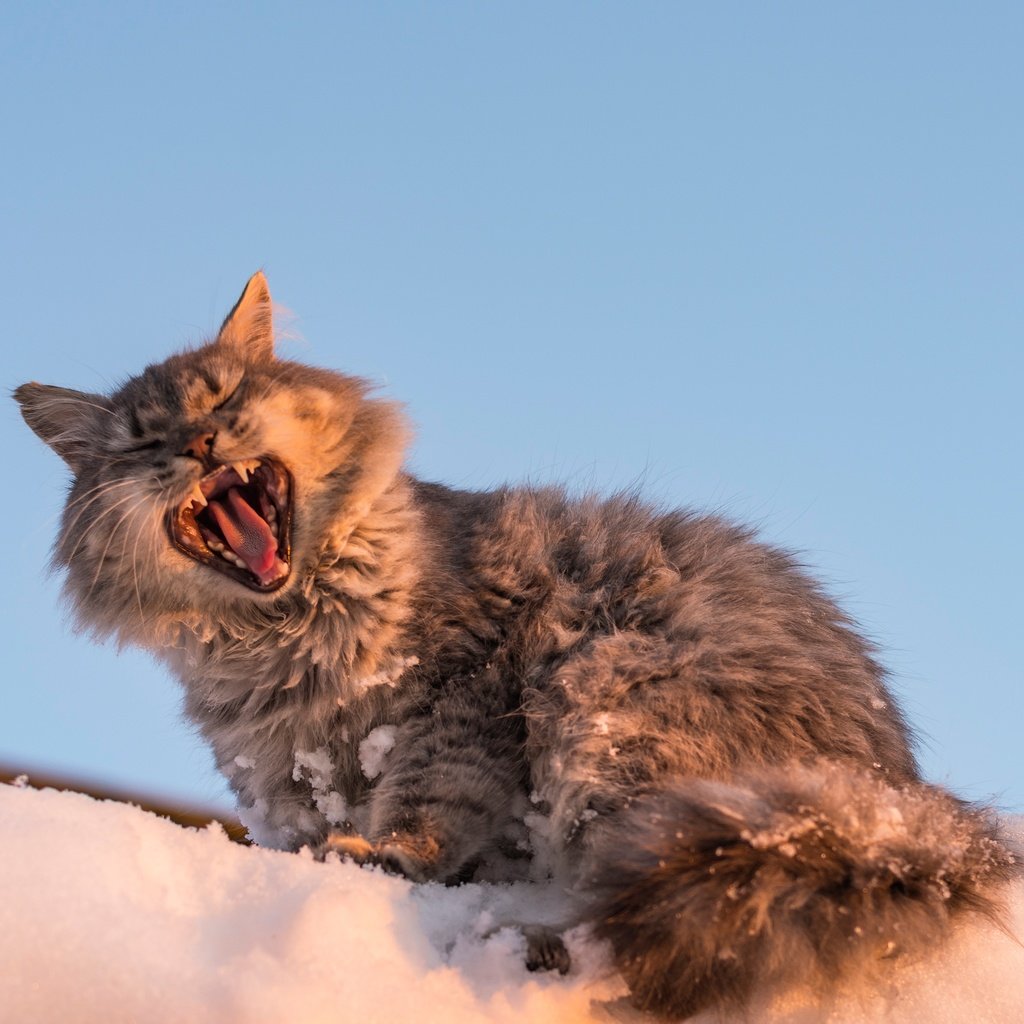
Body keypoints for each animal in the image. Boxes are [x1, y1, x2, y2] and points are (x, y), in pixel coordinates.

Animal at [16, 276, 1015, 1019]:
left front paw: (389, 854)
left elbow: (429, 807)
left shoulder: (464, 685)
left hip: (612, 700)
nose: (198, 443)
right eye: (141, 444)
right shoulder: (277, 779)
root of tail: (896, 803)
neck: (282, 631)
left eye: (223, 397)